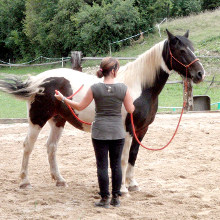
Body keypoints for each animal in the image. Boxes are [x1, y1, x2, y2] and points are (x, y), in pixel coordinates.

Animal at [0, 30, 205, 193]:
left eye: (192, 48)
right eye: (181, 51)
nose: (200, 74)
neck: (138, 87)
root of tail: (36, 81)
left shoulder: (141, 130)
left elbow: (133, 156)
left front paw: (132, 184)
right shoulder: (128, 130)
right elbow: (123, 159)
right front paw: (122, 189)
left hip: (58, 120)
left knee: (51, 147)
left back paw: (59, 180)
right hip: (37, 119)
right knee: (28, 146)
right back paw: (25, 182)